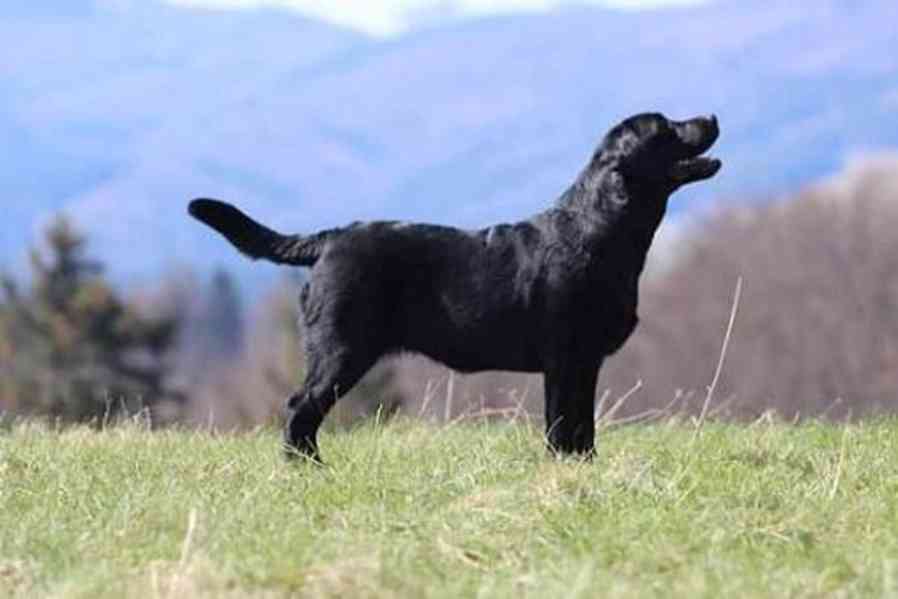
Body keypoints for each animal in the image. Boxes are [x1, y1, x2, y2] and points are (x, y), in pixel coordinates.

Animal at [191, 112, 720, 462]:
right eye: (666, 128)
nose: (710, 117)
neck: (599, 230)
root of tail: (330, 238)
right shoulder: (565, 358)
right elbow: (562, 425)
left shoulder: (584, 363)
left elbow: (583, 427)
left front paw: (585, 469)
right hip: (342, 350)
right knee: (300, 407)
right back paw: (308, 468)